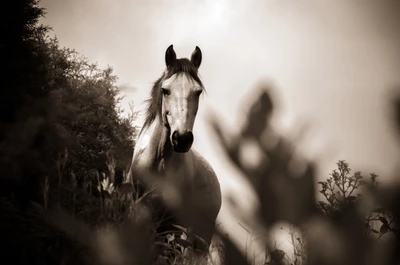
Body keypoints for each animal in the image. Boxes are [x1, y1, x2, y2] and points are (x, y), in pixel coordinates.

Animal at [127, 44, 222, 256]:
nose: (182, 138)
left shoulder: (173, 224)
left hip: (199, 238)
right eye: (165, 90)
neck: (159, 163)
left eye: (197, 92)